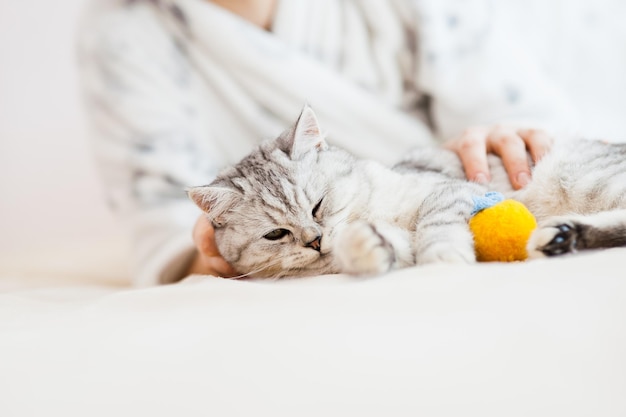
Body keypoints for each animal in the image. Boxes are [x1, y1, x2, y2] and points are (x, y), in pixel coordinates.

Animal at [186, 105, 624, 278]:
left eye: (318, 205)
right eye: (276, 234)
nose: (316, 241)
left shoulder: (454, 190)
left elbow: (435, 222)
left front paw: (443, 256)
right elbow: (389, 247)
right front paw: (364, 248)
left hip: (583, 179)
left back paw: (562, 234)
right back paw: (561, 237)